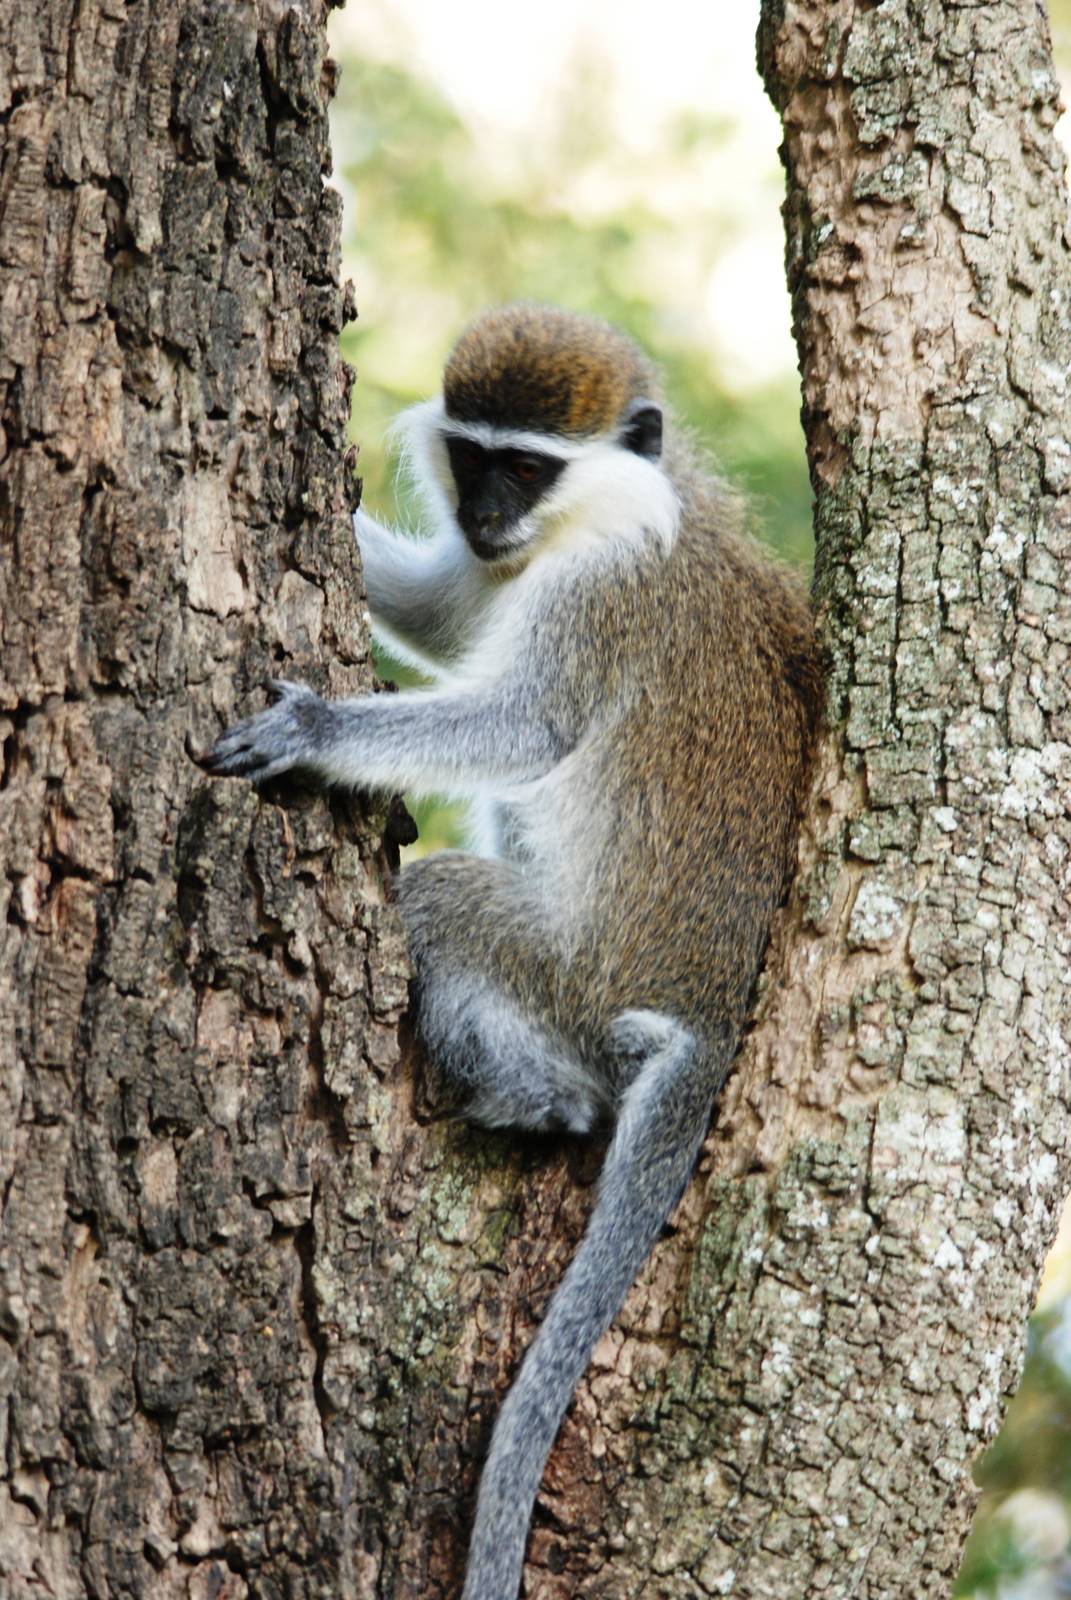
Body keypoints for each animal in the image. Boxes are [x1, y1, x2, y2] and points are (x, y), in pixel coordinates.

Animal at [201, 303, 822, 1599]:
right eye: (474, 457)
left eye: (528, 468)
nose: (487, 518)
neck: (602, 516)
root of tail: (714, 1013)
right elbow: (448, 609)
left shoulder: (599, 594)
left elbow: (526, 724)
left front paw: (316, 726)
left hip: (571, 974)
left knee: (451, 904)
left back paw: (539, 1097)